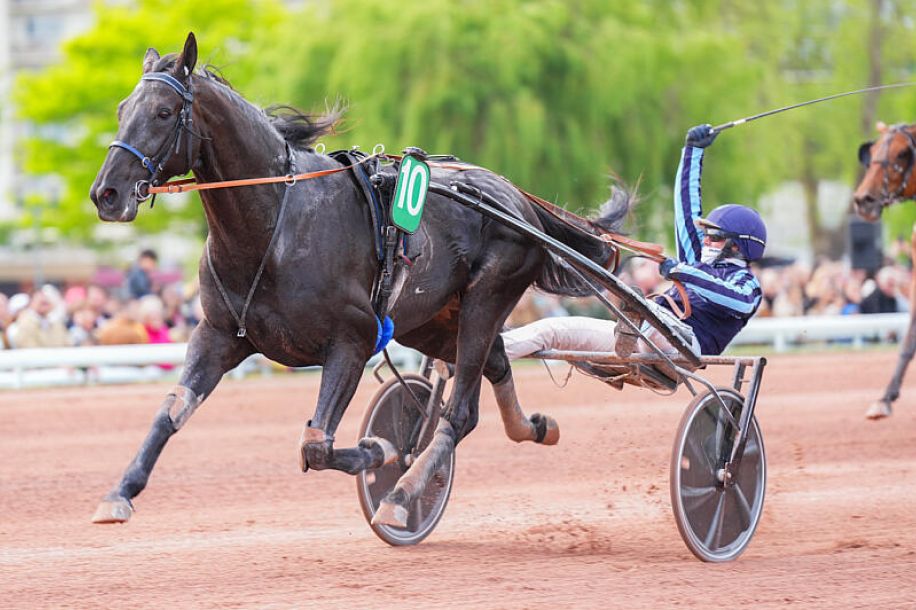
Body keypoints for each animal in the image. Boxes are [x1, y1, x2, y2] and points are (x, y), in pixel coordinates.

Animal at [88, 32, 632, 524]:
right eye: (121, 109)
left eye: (163, 112)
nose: (105, 193)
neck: (276, 224)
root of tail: (518, 201)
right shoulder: (219, 333)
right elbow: (171, 410)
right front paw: (119, 494)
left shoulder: (353, 337)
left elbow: (316, 445)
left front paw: (380, 451)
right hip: (429, 321)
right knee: (493, 366)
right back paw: (533, 427)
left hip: (486, 297)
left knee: (459, 411)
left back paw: (403, 495)